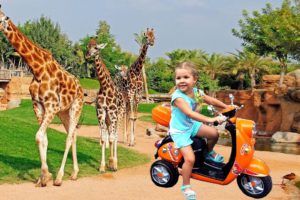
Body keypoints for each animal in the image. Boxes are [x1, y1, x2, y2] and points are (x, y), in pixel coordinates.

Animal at [0, 6, 84, 188]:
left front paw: (48, 176)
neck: (37, 69)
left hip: (76, 107)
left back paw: (60, 177)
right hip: (64, 112)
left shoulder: (51, 105)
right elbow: (43, 139)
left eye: (0, 18)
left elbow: (39, 136)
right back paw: (74, 173)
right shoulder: (38, 105)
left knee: (69, 137)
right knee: (73, 134)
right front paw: (43, 177)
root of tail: (81, 87)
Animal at [85, 38, 125, 172]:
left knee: (115, 136)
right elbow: (103, 138)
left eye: (96, 48)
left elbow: (112, 138)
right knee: (109, 135)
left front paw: (113, 164)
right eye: (87, 47)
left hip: (118, 116)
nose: (87, 56)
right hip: (108, 119)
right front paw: (102, 166)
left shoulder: (112, 113)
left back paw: (115, 163)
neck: (105, 87)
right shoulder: (101, 112)